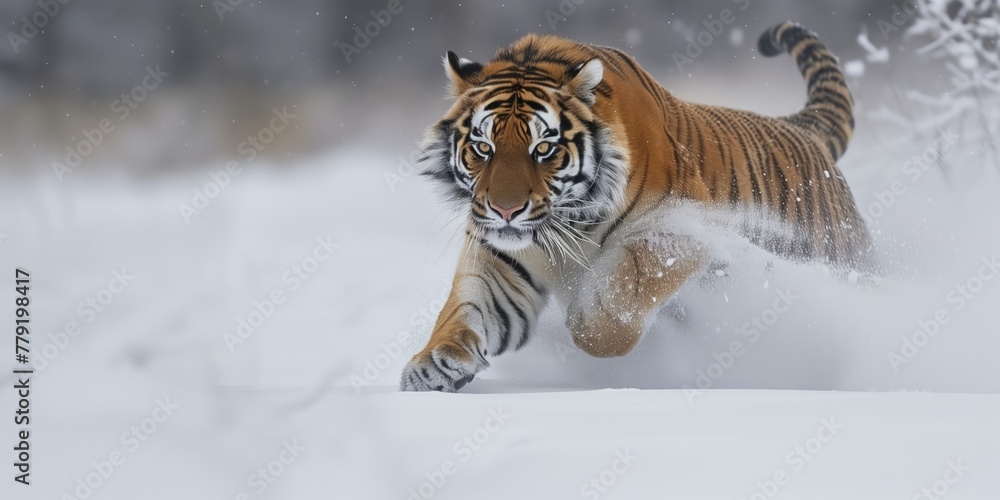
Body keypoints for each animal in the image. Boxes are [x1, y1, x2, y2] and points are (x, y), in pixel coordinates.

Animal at [400, 21, 875, 392]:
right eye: (483, 147)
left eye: (543, 148)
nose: (505, 211)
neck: (566, 221)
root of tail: (801, 128)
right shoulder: (500, 257)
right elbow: (465, 311)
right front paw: (431, 367)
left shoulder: (676, 228)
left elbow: (621, 292)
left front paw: (585, 321)